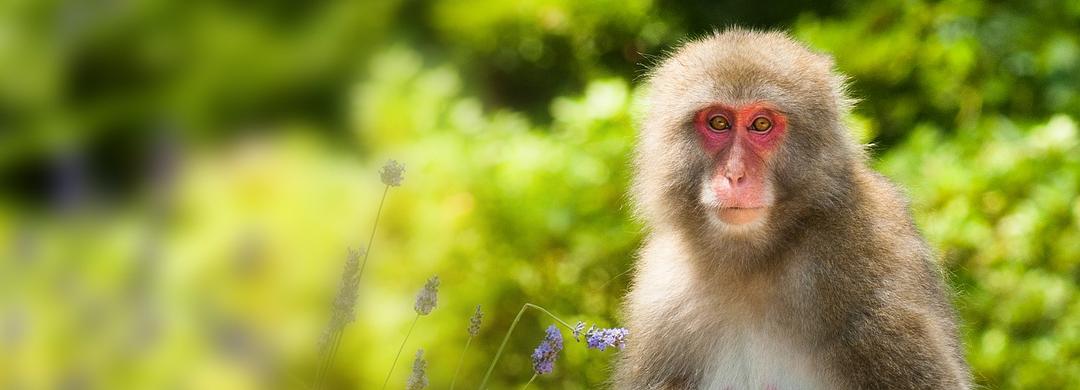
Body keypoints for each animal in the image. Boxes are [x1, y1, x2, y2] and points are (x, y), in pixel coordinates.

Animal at [613, 28, 976, 388]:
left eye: (761, 125)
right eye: (718, 122)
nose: (735, 174)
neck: (752, 260)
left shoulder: (872, 252)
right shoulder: (661, 294)